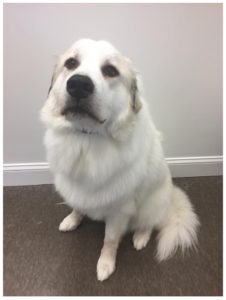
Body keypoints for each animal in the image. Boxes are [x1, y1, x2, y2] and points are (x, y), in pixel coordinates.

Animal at [41, 39, 200, 282]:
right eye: (71, 63)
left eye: (110, 70)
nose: (78, 84)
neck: (86, 138)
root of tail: (171, 196)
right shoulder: (76, 187)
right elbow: (77, 205)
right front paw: (72, 219)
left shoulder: (119, 211)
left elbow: (110, 240)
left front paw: (105, 264)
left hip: (151, 204)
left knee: (150, 223)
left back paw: (141, 237)